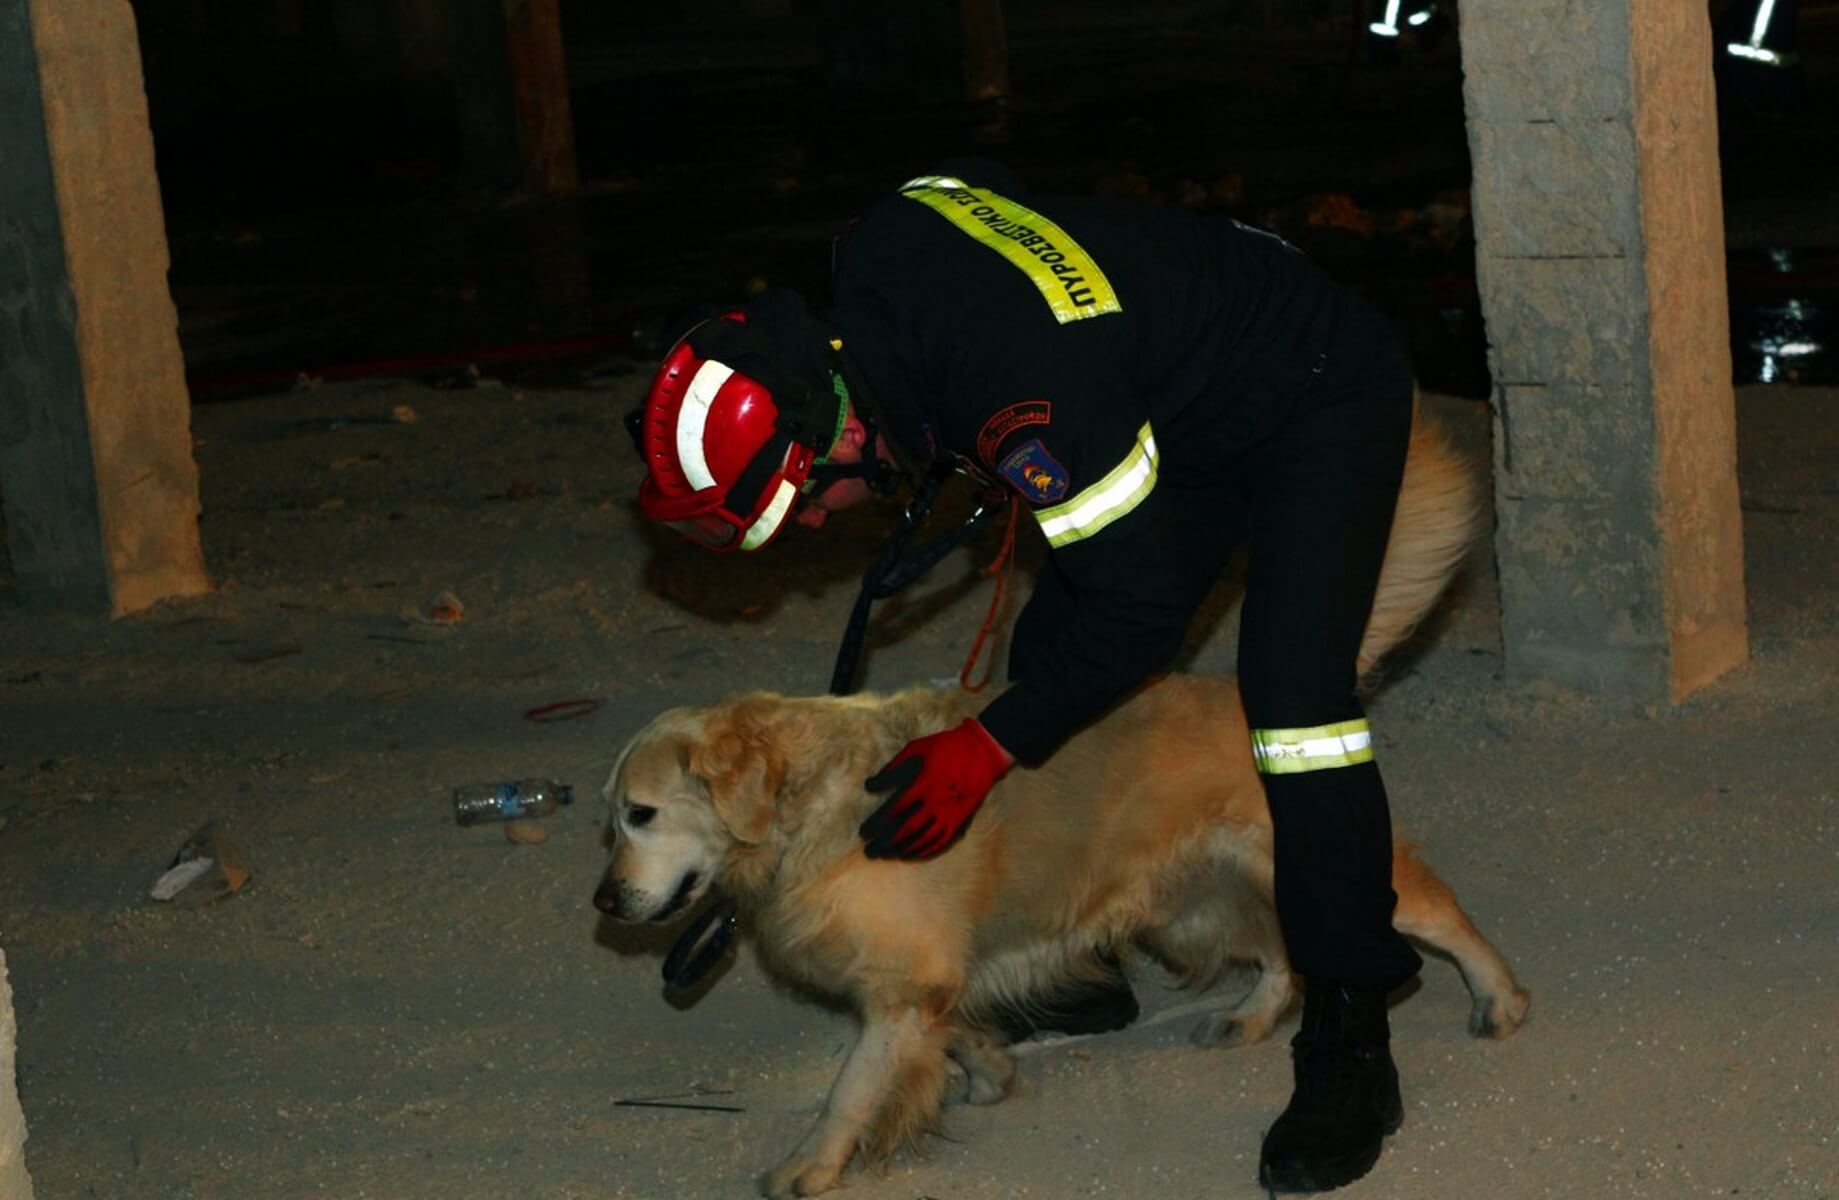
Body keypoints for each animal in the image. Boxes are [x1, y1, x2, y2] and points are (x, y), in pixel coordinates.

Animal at [595, 407, 1530, 1190]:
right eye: (608, 821)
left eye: (642, 814)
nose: (604, 902)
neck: (814, 807)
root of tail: (1242, 697)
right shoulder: (928, 981)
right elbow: (957, 1030)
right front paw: (991, 1070)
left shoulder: (898, 986)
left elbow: (851, 1090)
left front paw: (810, 1166)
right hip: (1185, 901)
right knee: (1281, 950)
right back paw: (1250, 1016)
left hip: (1303, 858)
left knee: (1429, 914)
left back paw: (1499, 998)